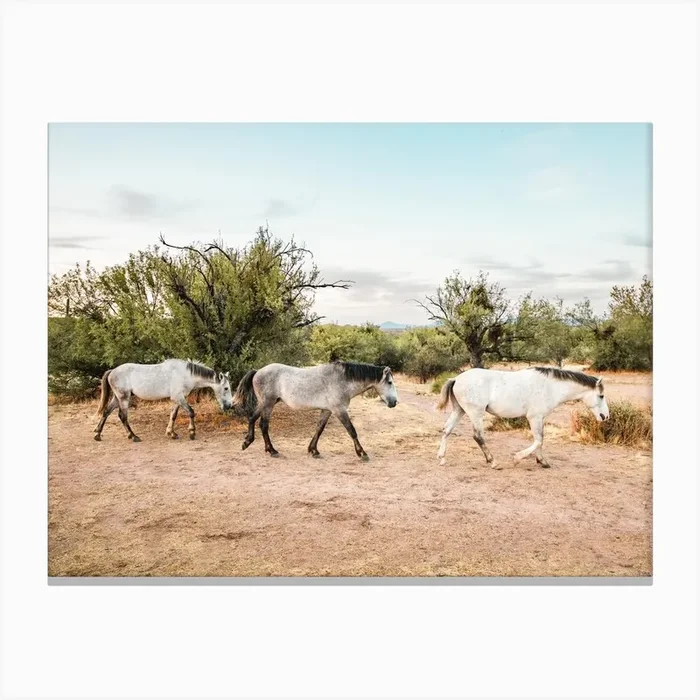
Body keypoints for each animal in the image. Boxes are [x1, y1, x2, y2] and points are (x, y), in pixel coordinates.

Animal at [93, 359, 232, 442]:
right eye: (226, 388)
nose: (229, 406)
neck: (186, 374)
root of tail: (112, 371)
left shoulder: (177, 399)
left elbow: (173, 415)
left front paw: (171, 433)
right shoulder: (179, 397)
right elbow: (191, 412)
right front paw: (192, 432)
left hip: (117, 398)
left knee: (106, 412)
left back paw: (98, 434)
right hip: (123, 398)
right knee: (122, 416)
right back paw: (134, 436)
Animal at [231, 361, 399, 460]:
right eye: (390, 382)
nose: (394, 402)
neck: (342, 380)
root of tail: (258, 371)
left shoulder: (327, 410)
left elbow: (319, 429)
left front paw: (313, 450)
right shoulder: (339, 410)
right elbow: (352, 430)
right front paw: (362, 453)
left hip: (266, 403)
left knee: (253, 419)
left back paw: (250, 442)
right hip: (268, 403)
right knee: (263, 425)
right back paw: (270, 450)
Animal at [435, 366, 609, 468]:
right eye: (601, 396)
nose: (605, 416)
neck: (550, 387)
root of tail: (456, 379)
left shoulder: (540, 419)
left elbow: (540, 440)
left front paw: (542, 461)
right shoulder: (534, 417)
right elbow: (538, 440)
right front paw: (518, 458)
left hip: (459, 411)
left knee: (446, 430)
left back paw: (442, 458)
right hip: (475, 413)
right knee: (478, 436)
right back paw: (493, 462)